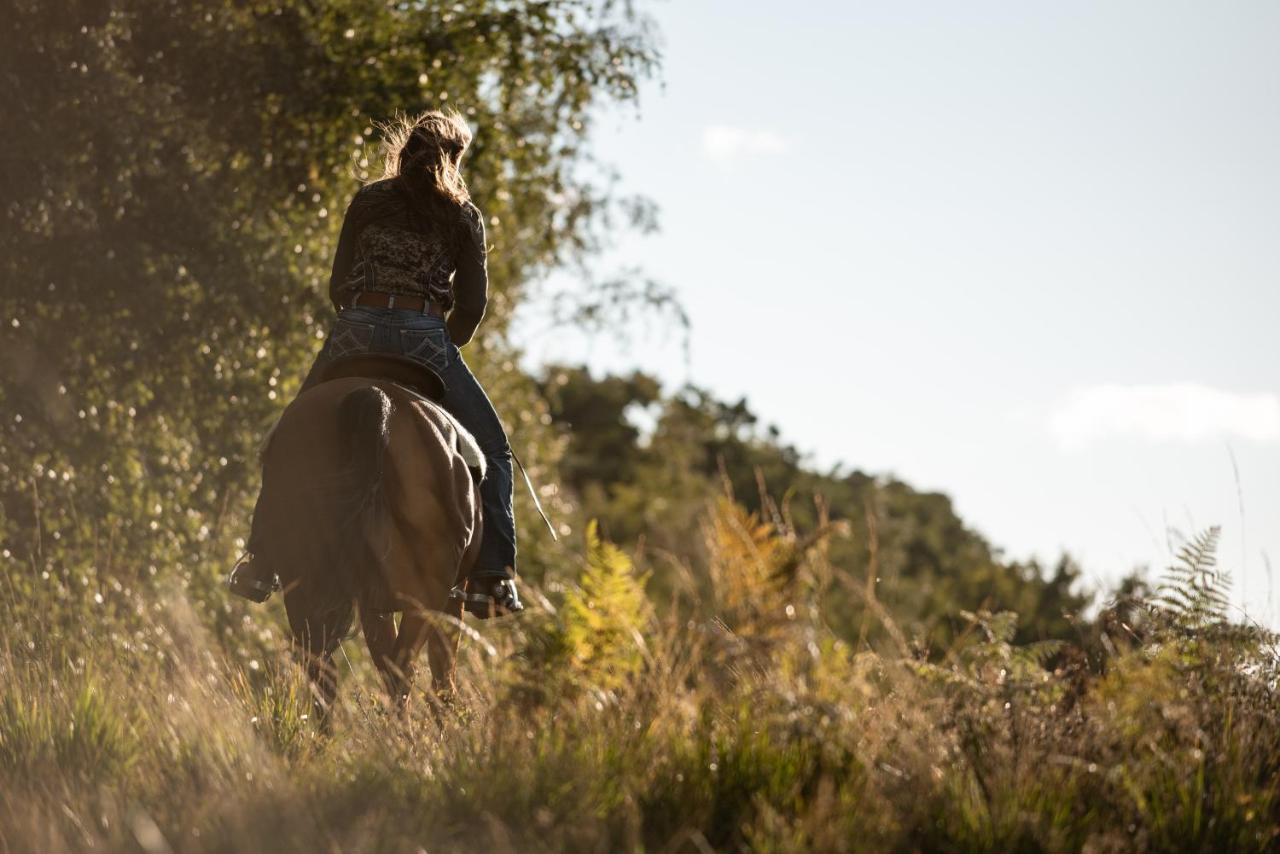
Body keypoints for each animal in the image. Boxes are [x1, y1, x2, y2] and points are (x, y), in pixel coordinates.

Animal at [252, 358, 481, 727]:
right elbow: (441, 672)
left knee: (323, 670)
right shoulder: (447, 595)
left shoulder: (373, 600)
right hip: (426, 594)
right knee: (403, 674)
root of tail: (374, 396)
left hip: (301, 580)